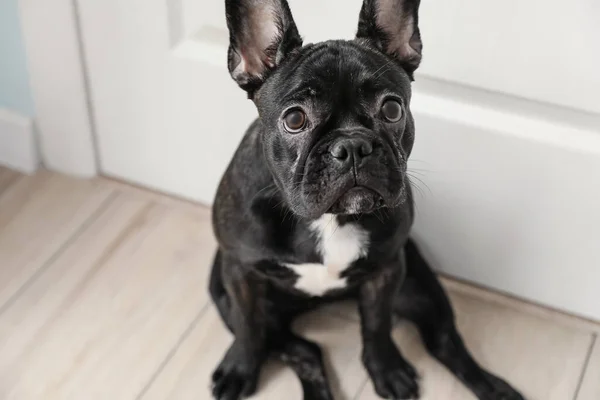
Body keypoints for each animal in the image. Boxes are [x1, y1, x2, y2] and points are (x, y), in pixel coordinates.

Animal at [210, 0, 524, 400]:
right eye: (294, 119)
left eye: (392, 109)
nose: (352, 146)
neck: (327, 219)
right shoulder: (240, 274)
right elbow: (249, 326)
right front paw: (239, 368)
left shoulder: (388, 269)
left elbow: (377, 324)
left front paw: (387, 369)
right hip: (224, 292)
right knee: (301, 349)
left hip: (418, 284)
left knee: (444, 340)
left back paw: (494, 388)